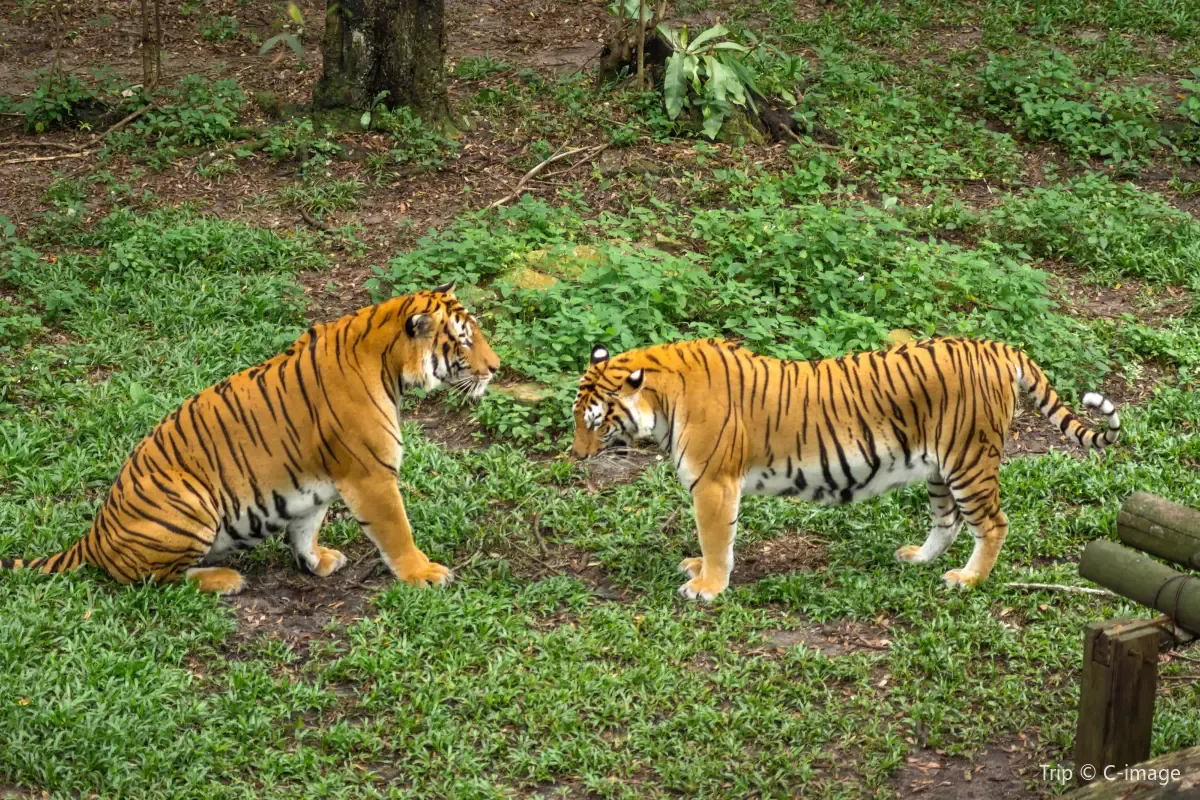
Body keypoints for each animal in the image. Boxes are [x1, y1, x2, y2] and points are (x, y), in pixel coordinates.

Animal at [0, 284, 496, 597]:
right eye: (464, 341)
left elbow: (306, 527)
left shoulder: (314, 485)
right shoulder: (371, 476)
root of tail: (93, 536)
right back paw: (223, 580)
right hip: (189, 500)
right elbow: (396, 531)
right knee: (152, 579)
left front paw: (316, 561)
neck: (389, 367)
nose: (496, 368)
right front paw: (422, 573)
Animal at [566, 335, 1118, 599]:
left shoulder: (714, 484)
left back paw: (967, 579)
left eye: (594, 421)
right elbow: (714, 541)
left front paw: (707, 588)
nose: (575, 455)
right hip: (940, 470)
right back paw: (919, 559)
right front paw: (700, 571)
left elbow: (716, 539)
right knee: (949, 522)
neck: (662, 397)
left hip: (969, 461)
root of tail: (995, 346)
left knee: (994, 523)